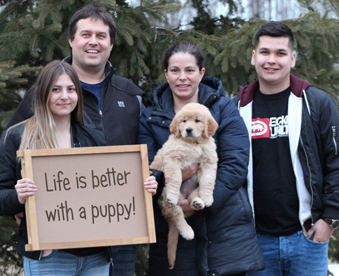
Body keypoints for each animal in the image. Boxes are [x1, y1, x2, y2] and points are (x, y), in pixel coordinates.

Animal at [151, 102, 219, 268]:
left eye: (197, 121)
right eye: (184, 121)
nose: (188, 130)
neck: (193, 143)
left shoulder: (209, 162)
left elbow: (208, 180)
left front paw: (208, 198)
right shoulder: (172, 159)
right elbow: (175, 177)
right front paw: (173, 194)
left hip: (193, 189)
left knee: (191, 199)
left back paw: (198, 202)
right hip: (164, 199)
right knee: (177, 215)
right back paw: (187, 231)